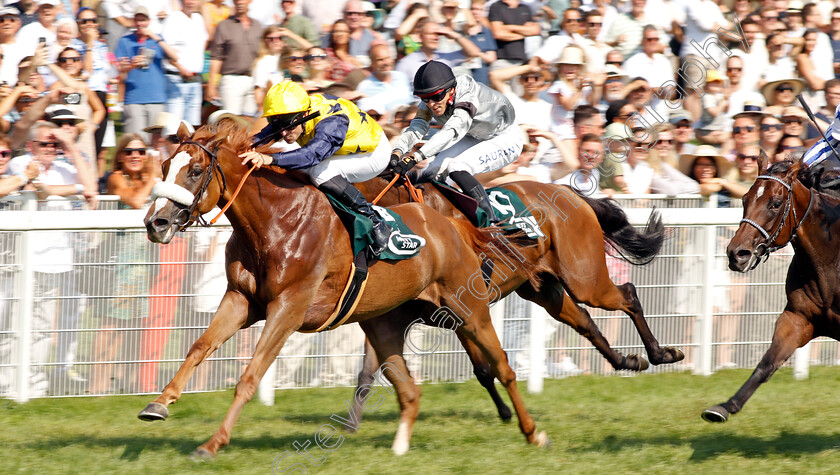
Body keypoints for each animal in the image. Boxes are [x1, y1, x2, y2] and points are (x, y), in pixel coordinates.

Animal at [136, 121, 552, 460]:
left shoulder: (288, 308)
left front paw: (212, 443)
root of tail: (452, 225)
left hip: (468, 311)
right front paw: (158, 404)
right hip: (384, 323)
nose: (156, 223)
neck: (276, 221)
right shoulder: (241, 299)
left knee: (502, 368)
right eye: (164, 167)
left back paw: (533, 432)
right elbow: (199, 347)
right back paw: (400, 446)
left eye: (195, 170)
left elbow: (250, 376)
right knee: (409, 389)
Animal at [348, 178, 684, 424]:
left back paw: (661, 354)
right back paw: (628, 361)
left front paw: (508, 412)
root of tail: (566, 190)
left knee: (628, 294)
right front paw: (351, 424)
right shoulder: (395, 317)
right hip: (545, 290)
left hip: (585, 280)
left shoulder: (460, 311)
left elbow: (485, 369)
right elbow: (368, 371)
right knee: (587, 322)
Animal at [700, 156, 836, 424]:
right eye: (744, 199)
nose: (737, 254)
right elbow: (768, 362)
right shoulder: (798, 318)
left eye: (775, 203)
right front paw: (724, 407)